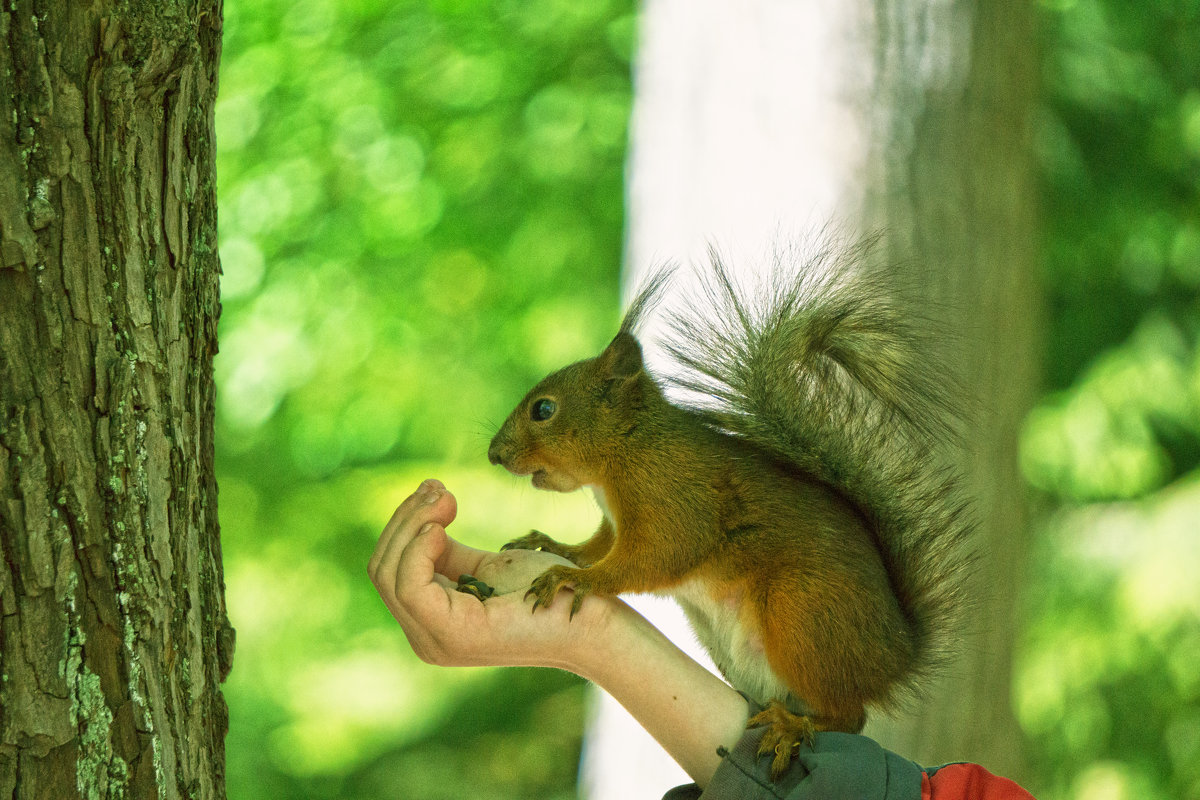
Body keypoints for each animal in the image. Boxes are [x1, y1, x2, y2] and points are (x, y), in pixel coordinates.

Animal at [482, 235, 969, 777]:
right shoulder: (614, 523)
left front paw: (574, 578)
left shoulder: (675, 499)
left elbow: (653, 558)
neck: (627, 450)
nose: (494, 454)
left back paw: (792, 727)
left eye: (543, 410)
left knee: (850, 717)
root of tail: (896, 656)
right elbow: (596, 547)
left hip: (803, 612)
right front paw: (548, 545)